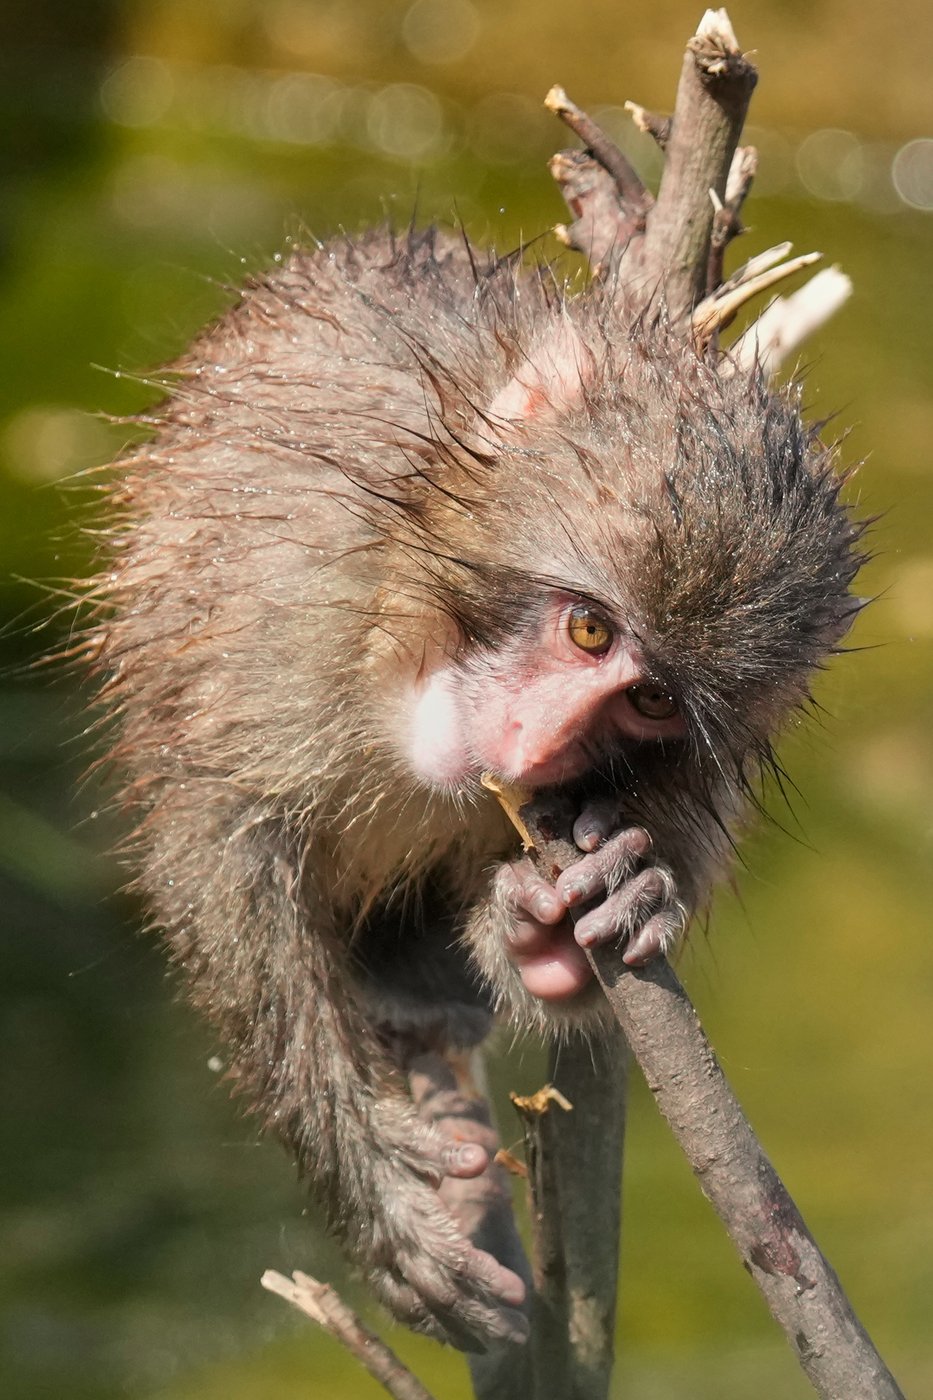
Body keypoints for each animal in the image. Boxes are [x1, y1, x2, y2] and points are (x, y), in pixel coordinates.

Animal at [86, 224, 863, 1352]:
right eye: (588, 627)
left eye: (652, 701)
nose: (535, 743)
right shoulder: (287, 589)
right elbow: (219, 834)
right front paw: (379, 1199)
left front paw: (577, 915)